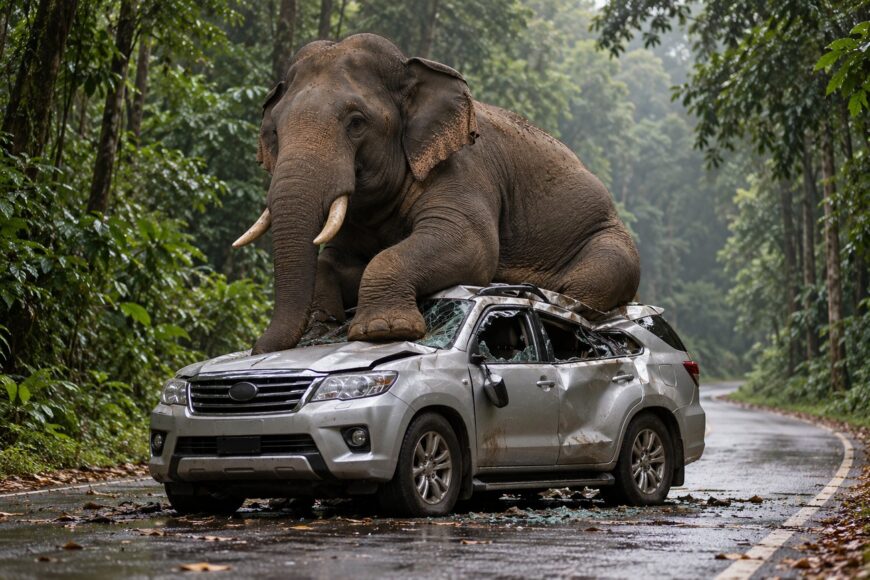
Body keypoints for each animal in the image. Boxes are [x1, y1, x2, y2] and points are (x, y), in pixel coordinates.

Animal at [233, 33, 640, 355]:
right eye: (274, 132)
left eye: (356, 123)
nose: (259, 348)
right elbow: (335, 261)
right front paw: (321, 330)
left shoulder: (465, 171)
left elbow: (470, 245)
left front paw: (384, 330)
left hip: (611, 243)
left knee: (586, 287)